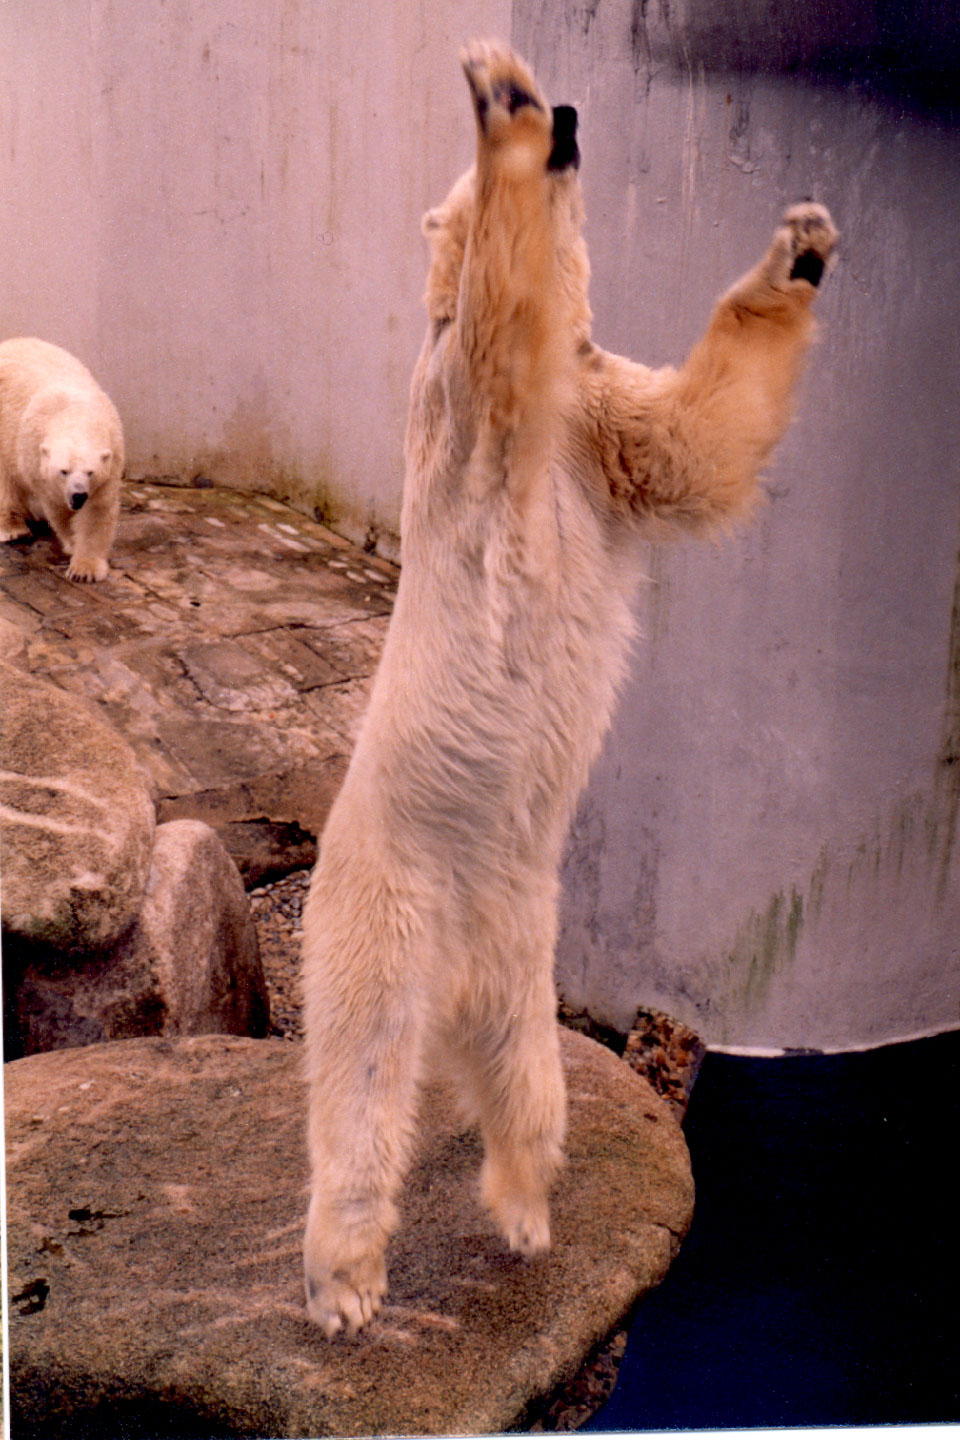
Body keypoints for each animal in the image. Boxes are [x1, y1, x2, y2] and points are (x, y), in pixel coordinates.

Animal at [0, 335, 125, 578]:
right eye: (64, 471)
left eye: (90, 472)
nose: (78, 495)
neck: (74, 412)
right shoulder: (36, 461)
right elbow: (59, 509)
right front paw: (72, 542)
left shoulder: (112, 455)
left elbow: (97, 510)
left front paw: (85, 569)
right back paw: (14, 528)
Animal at [302, 36, 840, 1336]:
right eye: (553, 124)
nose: (580, 119)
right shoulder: (475, 413)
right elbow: (503, 318)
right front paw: (500, 93)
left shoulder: (599, 421)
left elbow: (696, 440)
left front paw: (803, 242)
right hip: (388, 898)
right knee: (363, 1065)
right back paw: (346, 1280)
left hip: (517, 953)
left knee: (524, 1080)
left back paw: (524, 1208)